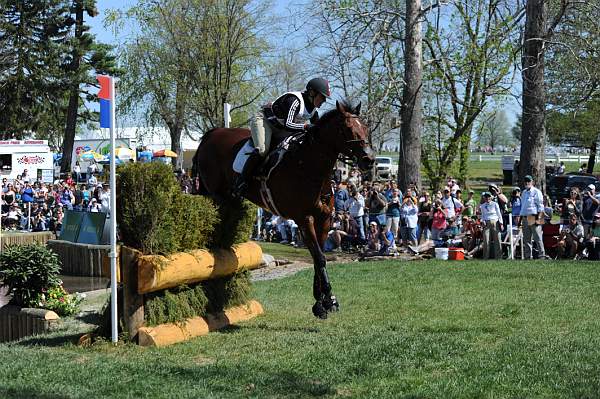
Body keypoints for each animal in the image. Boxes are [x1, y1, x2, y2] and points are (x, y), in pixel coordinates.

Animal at [195, 101, 376, 320]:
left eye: (365, 127)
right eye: (347, 129)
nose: (369, 159)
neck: (308, 167)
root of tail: (211, 134)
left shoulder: (324, 219)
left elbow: (318, 258)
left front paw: (320, 303)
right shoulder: (304, 219)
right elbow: (320, 258)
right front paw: (329, 301)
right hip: (213, 191)